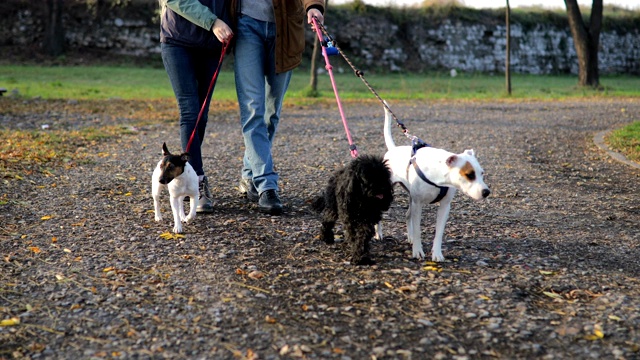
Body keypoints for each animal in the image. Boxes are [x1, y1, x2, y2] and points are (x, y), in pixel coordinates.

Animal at [376, 104, 490, 262]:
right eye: (469, 175)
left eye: (482, 173)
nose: (487, 192)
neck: (438, 175)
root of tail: (392, 149)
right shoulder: (418, 204)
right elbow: (418, 230)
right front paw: (417, 251)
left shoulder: (444, 206)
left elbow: (439, 233)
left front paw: (437, 253)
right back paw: (379, 234)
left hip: (411, 198)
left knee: (407, 215)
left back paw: (410, 237)